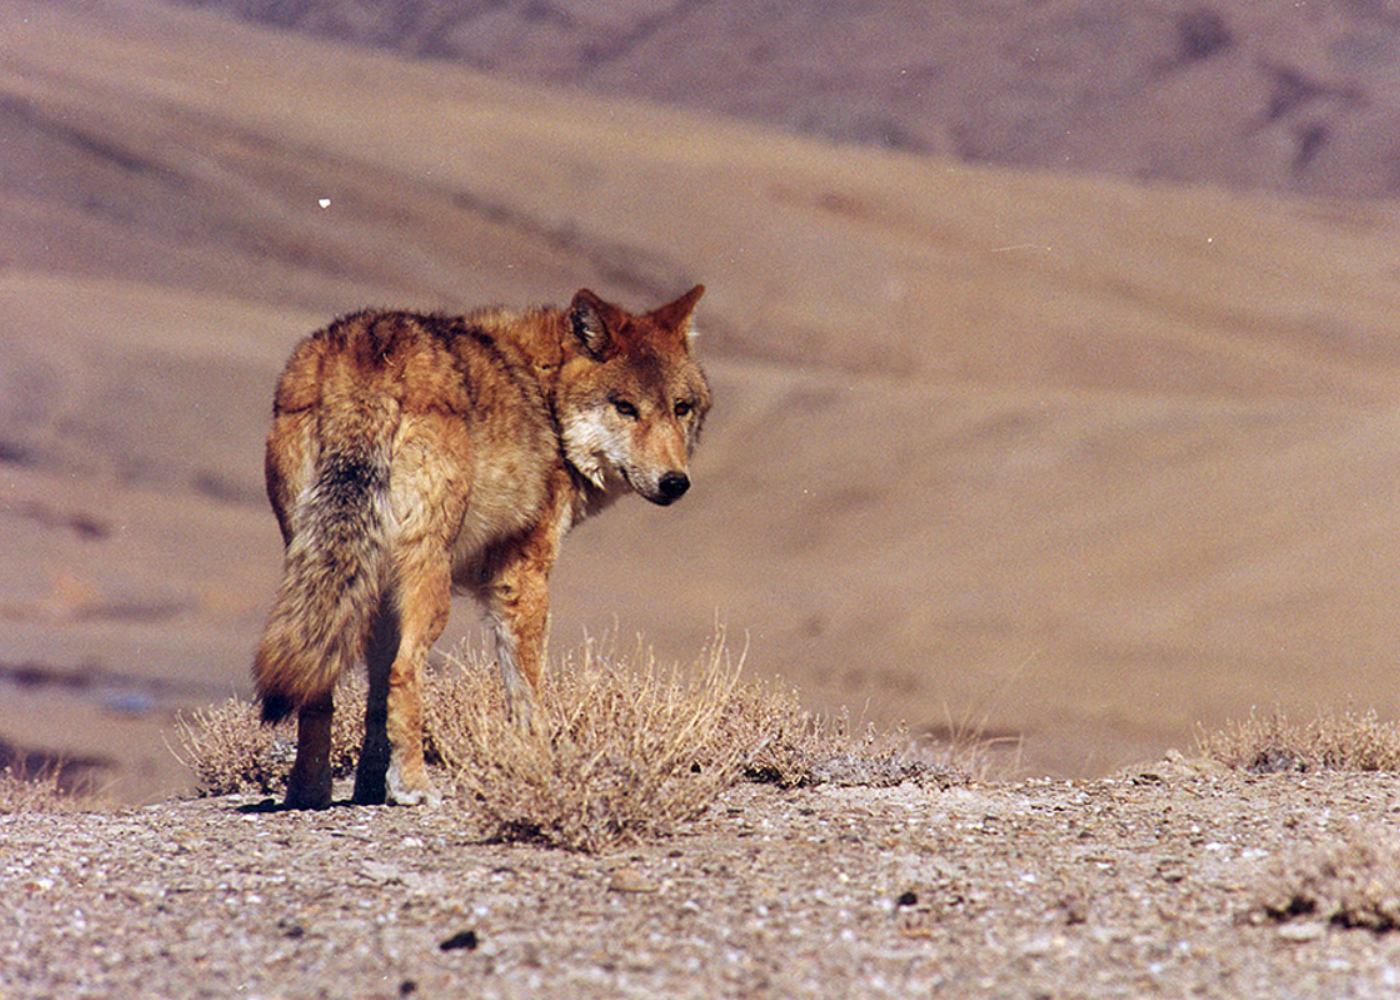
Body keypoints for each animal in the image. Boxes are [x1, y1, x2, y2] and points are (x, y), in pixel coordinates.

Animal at [253, 285, 710, 809]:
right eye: (625, 407)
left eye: (680, 407)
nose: (675, 483)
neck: (548, 398)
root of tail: (363, 356)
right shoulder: (522, 577)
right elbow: (525, 692)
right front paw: (539, 769)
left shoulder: (384, 589)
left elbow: (373, 704)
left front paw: (370, 785)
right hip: (431, 575)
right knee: (405, 672)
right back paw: (415, 786)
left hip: (324, 564)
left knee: (320, 684)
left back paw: (308, 793)